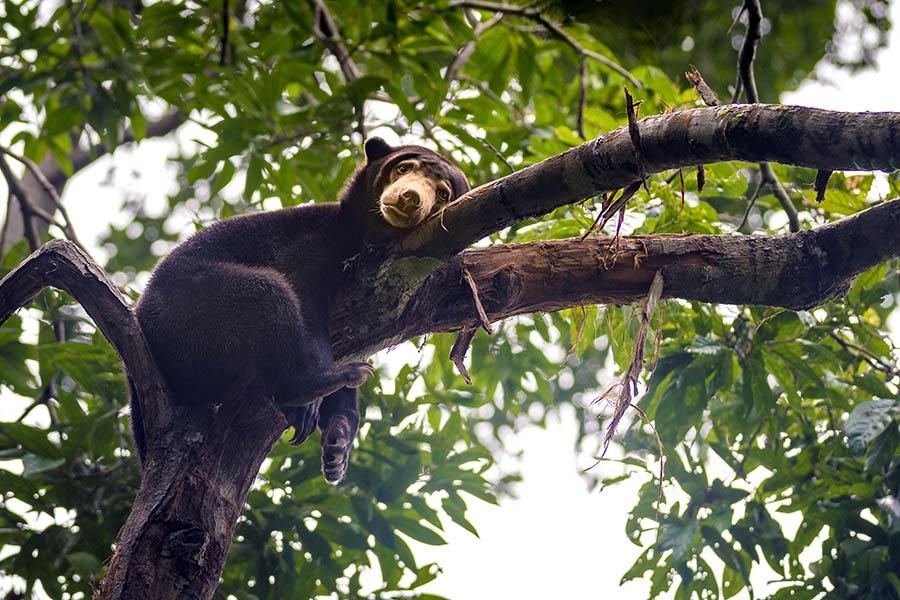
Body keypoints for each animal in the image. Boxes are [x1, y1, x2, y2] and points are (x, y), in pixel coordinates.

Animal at [131, 137, 470, 482]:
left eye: (443, 194)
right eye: (403, 168)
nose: (410, 197)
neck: (362, 237)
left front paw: (339, 440)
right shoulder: (310, 245)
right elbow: (305, 301)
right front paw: (318, 397)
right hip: (190, 304)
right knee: (268, 293)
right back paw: (315, 383)